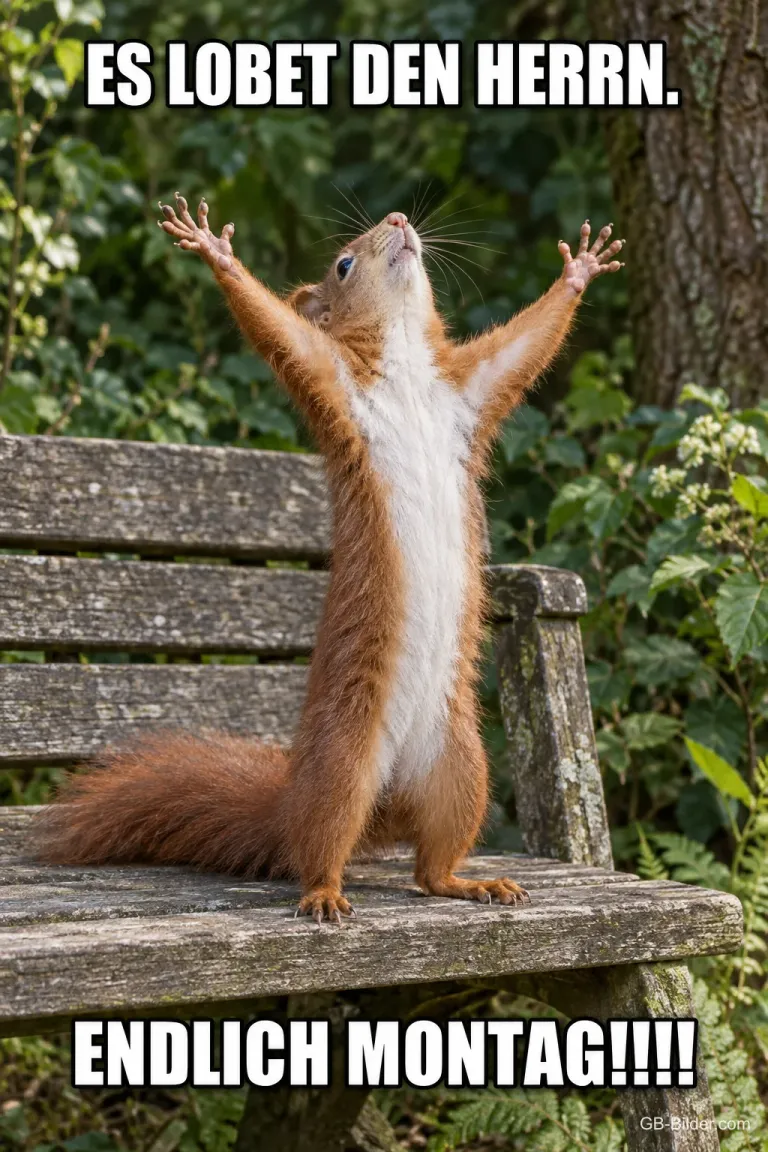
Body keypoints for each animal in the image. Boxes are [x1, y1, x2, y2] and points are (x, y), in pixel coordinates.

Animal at [37, 194, 624, 924]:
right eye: (344, 264)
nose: (399, 221)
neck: (404, 369)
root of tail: (387, 799)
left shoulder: (469, 393)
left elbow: (523, 347)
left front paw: (579, 271)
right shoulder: (332, 384)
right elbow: (278, 334)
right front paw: (216, 253)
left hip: (462, 768)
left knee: (429, 868)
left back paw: (469, 882)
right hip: (344, 764)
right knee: (319, 842)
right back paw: (323, 892)